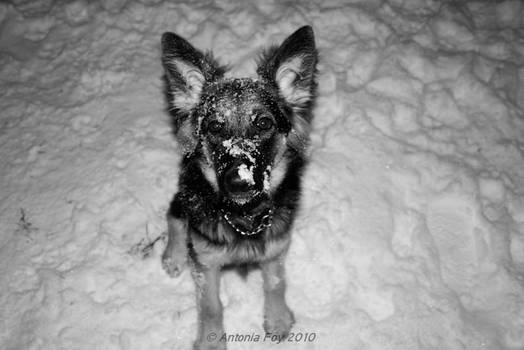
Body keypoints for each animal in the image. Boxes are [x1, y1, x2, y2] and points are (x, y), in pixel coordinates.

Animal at [160, 26, 318, 350]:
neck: (244, 216)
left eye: (263, 124)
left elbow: (276, 282)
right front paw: (210, 341)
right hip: (187, 194)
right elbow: (210, 305)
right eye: (214, 126)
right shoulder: (205, 262)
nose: (238, 181)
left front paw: (277, 319)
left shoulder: (276, 247)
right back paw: (173, 255)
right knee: (174, 213)